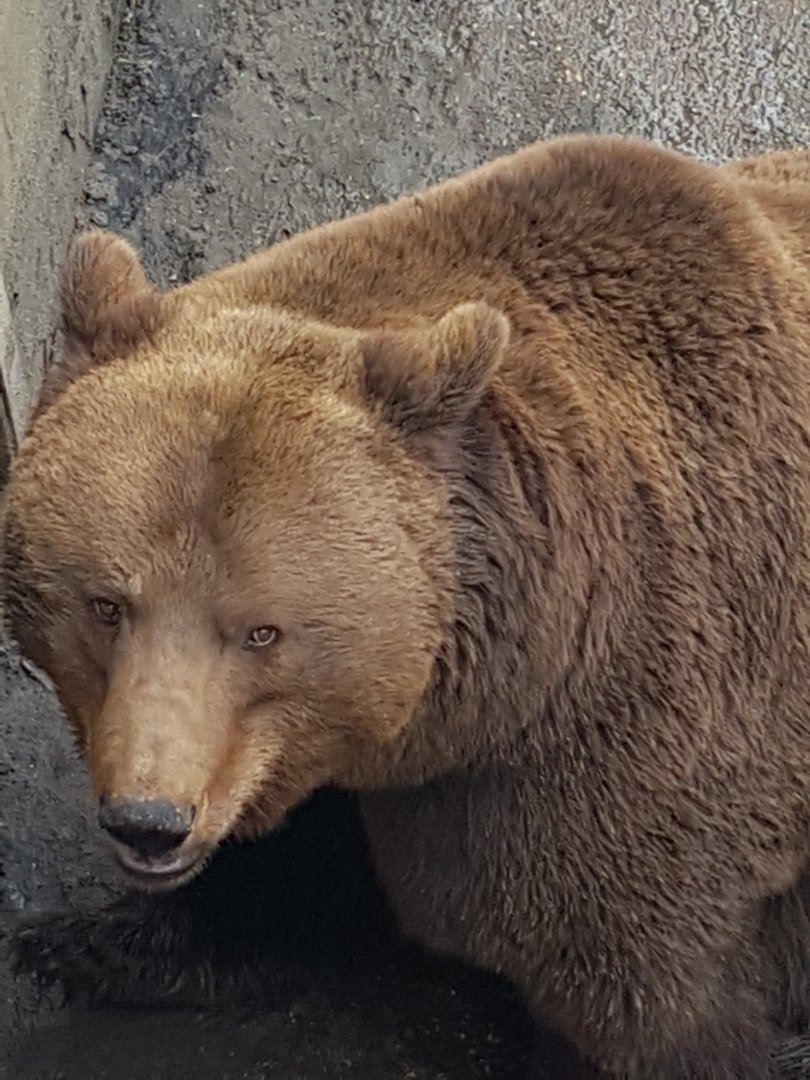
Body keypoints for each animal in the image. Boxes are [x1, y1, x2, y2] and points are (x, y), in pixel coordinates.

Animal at [4, 134, 810, 1079]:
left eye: (262, 631)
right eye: (106, 604)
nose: (150, 822)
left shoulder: (631, 748)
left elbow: (646, 1005)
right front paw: (87, 943)